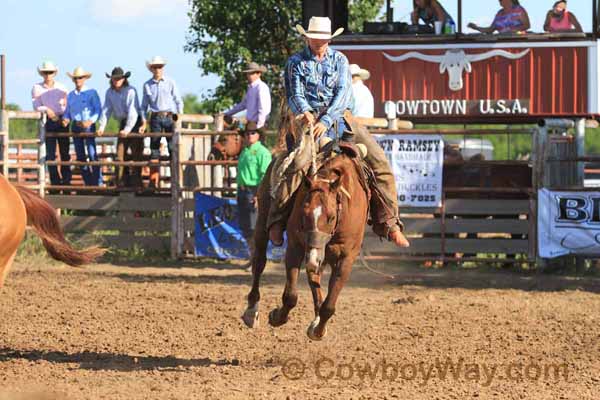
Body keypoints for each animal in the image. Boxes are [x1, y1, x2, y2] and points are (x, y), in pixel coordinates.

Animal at [241, 148, 368, 340]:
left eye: (331, 217)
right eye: (304, 214)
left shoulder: (346, 257)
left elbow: (329, 305)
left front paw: (318, 330)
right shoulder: (296, 246)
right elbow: (290, 296)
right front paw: (277, 317)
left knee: (314, 276)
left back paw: (316, 318)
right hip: (263, 221)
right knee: (259, 262)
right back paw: (251, 310)